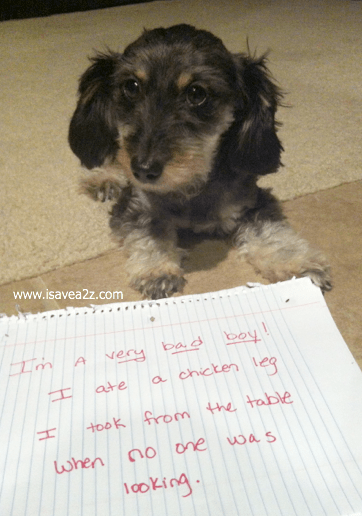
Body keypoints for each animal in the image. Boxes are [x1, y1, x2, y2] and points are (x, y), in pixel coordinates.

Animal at [68, 23, 330, 298]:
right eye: (131, 86)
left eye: (197, 93)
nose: (143, 170)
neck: (189, 184)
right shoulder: (136, 204)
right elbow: (149, 229)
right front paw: (156, 270)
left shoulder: (251, 200)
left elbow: (271, 233)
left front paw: (298, 264)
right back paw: (103, 178)